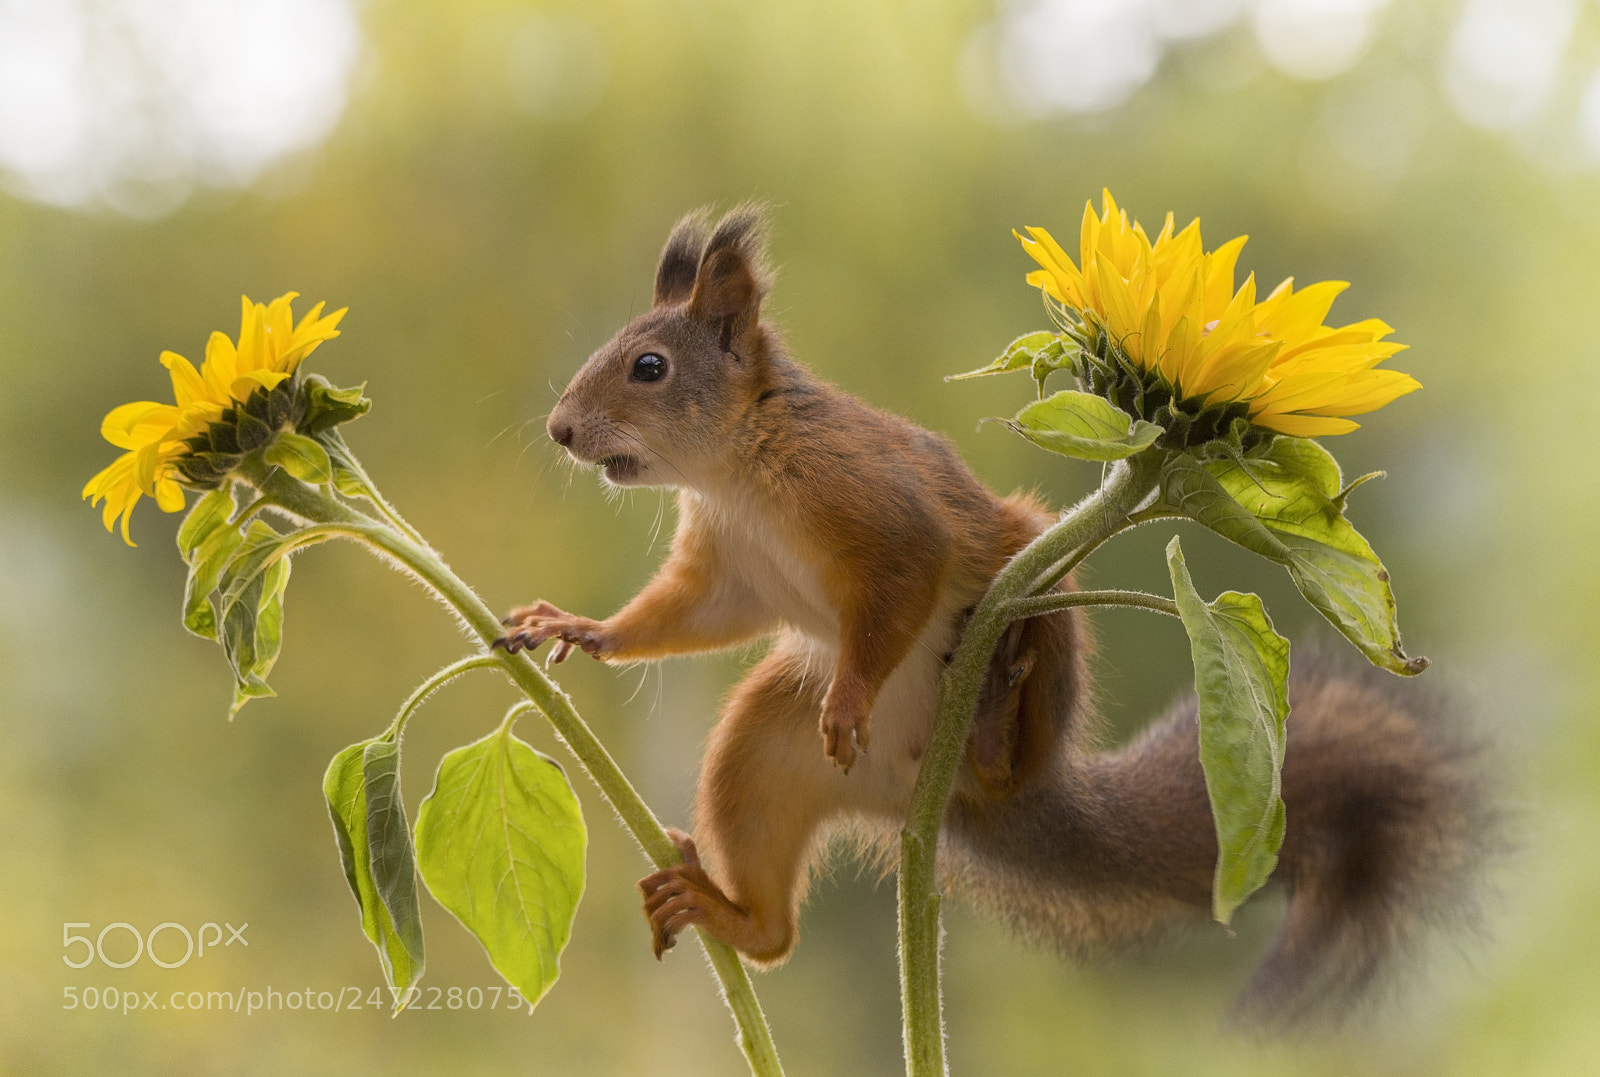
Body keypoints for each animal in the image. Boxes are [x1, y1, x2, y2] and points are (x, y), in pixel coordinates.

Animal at [496, 205, 1494, 1025]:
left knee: (1006, 749)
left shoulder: (886, 518)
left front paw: (850, 699)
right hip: (761, 751)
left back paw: (991, 717)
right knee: (777, 929)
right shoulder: (726, 568)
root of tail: (928, 795)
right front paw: (581, 628)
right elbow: (679, 617)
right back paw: (726, 909)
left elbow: (897, 595)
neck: (737, 467)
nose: (559, 430)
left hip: (1042, 613)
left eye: (649, 367)